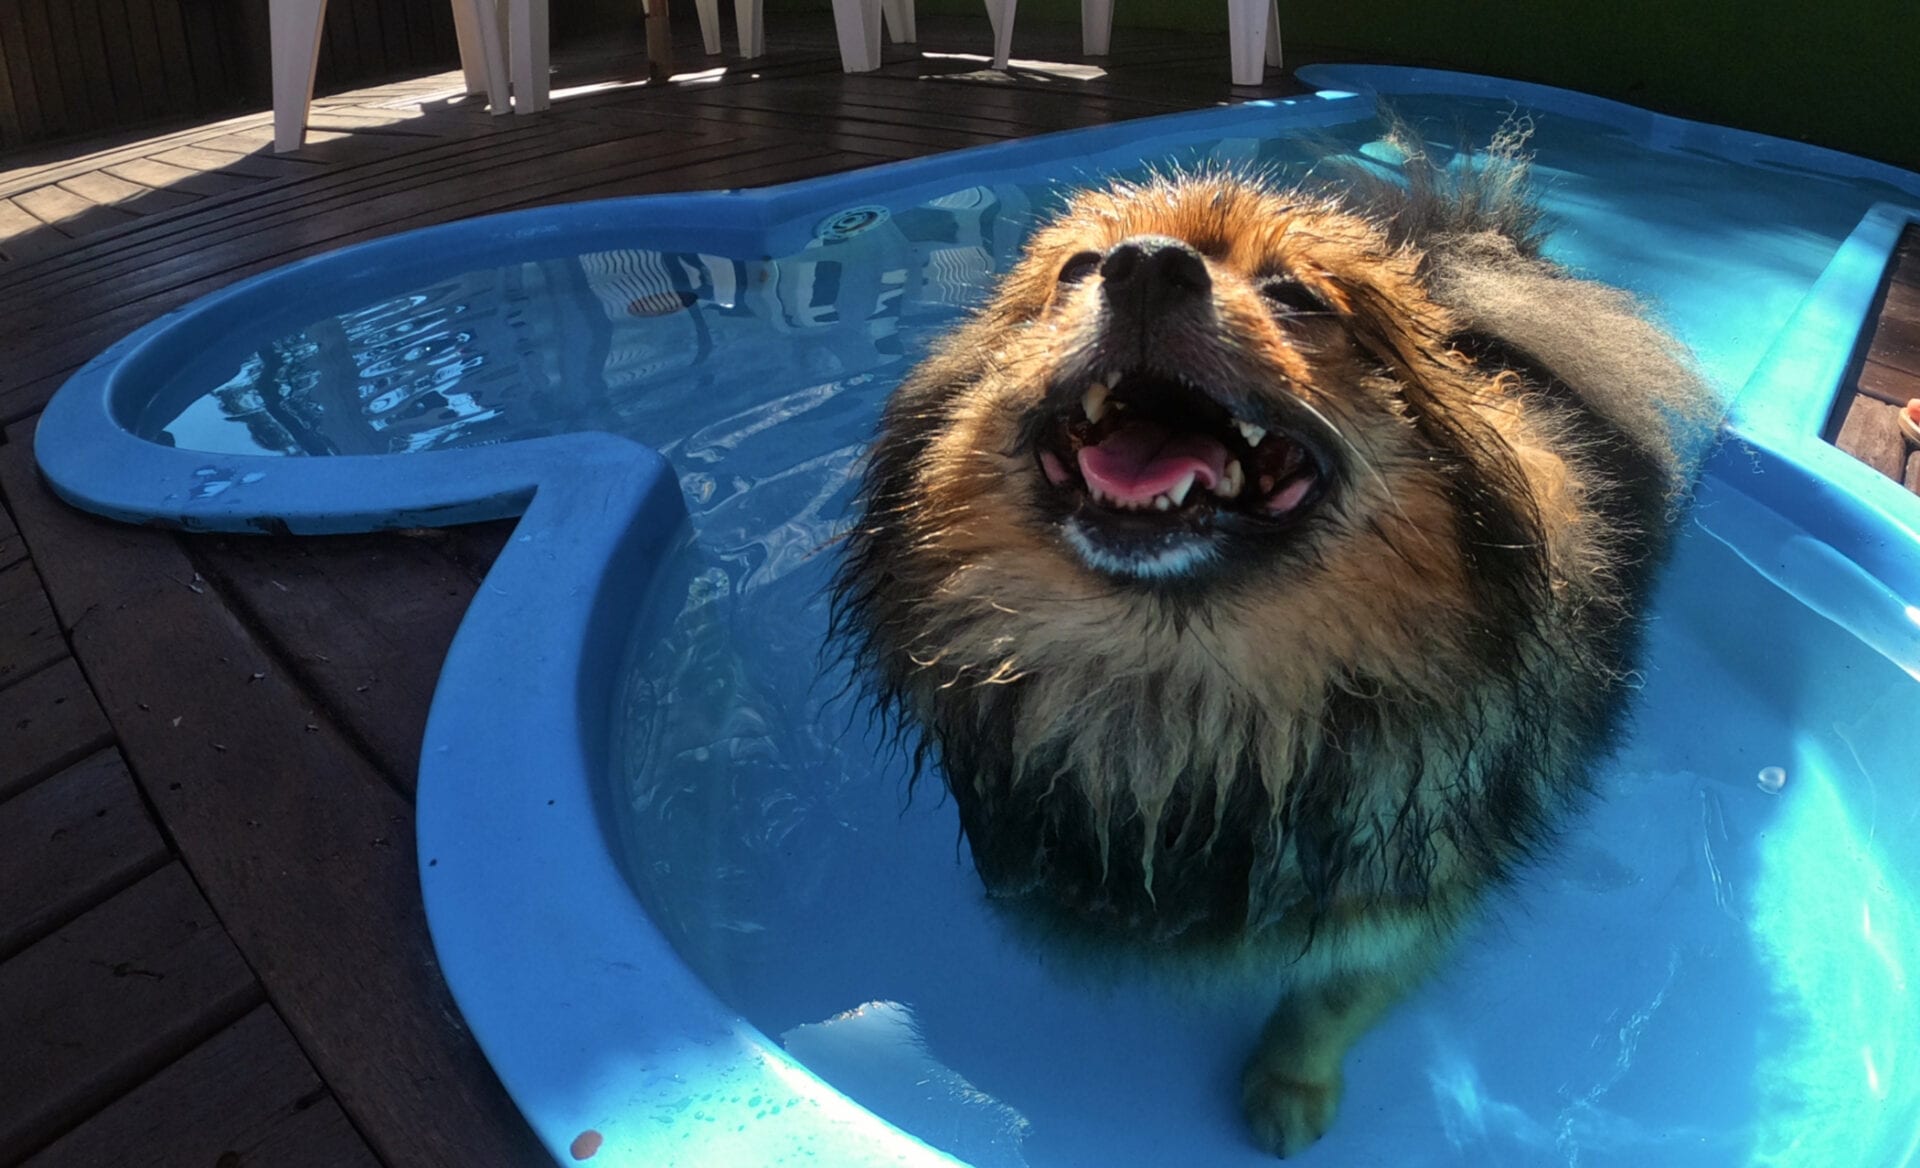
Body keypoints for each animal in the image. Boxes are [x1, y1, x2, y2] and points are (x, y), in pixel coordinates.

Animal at [825, 129, 1712, 1160]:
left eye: (1298, 297)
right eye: (1077, 269)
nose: (1146, 267)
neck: (1185, 711)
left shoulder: (1402, 897)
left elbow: (1329, 998)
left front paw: (1288, 1089)